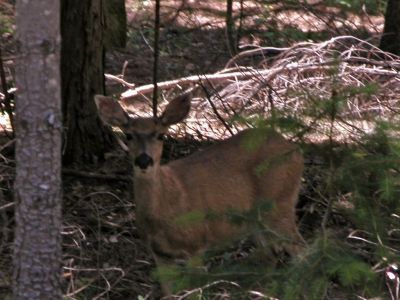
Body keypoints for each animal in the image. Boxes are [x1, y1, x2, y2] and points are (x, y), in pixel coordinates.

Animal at [94, 92, 306, 296]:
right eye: (128, 135)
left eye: (161, 135)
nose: (144, 160)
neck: (163, 212)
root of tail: (294, 149)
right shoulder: (160, 254)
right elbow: (169, 293)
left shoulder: (195, 244)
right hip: (257, 218)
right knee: (271, 253)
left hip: (281, 201)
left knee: (299, 249)